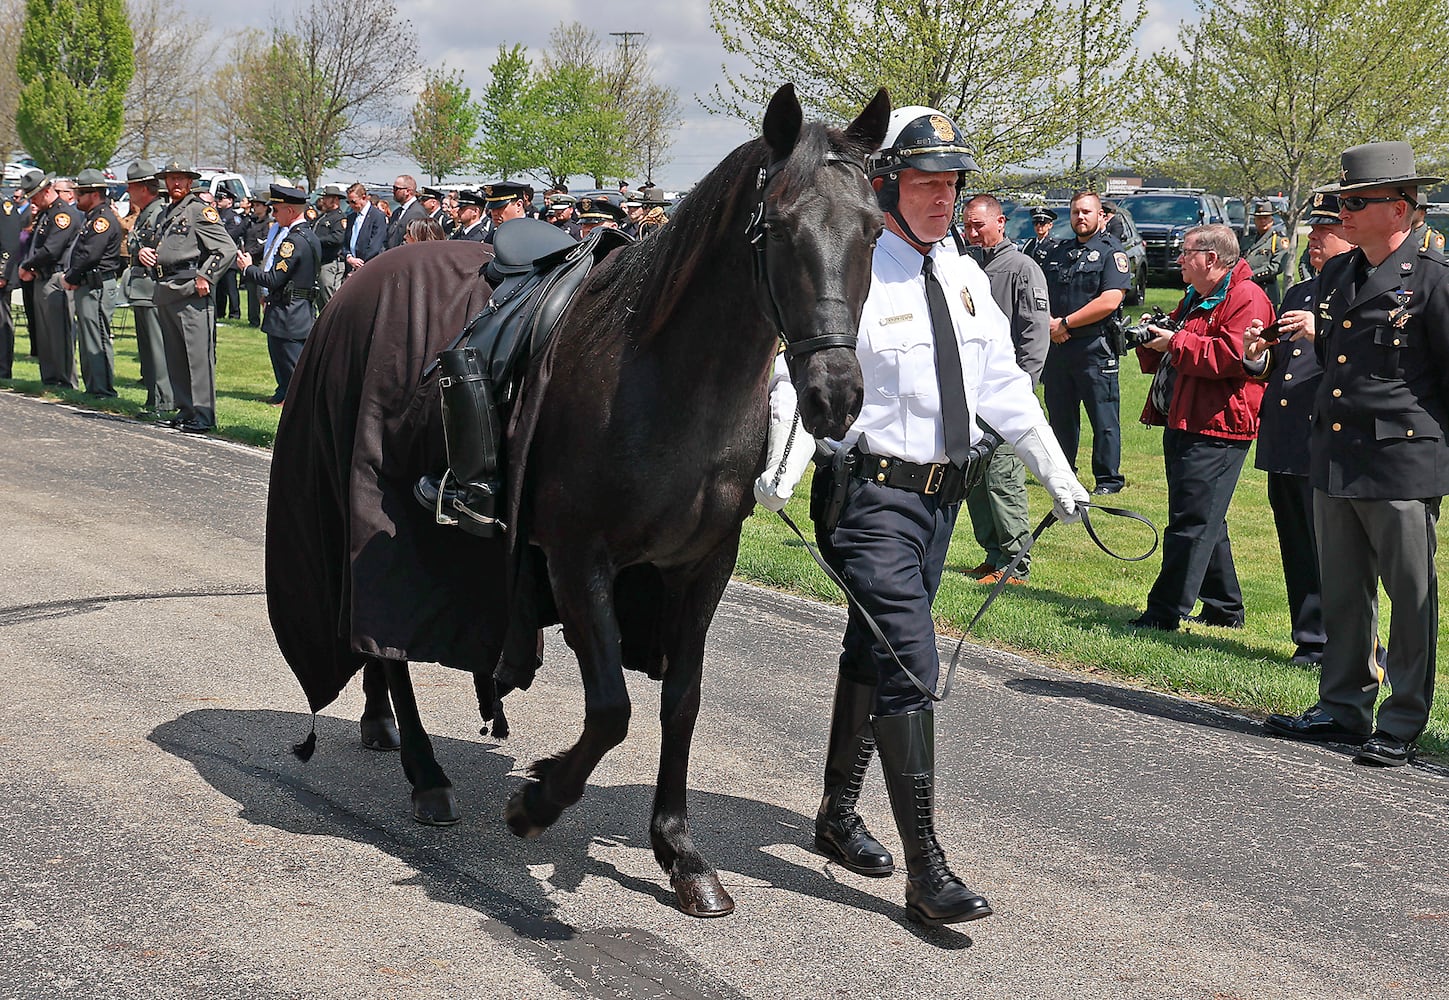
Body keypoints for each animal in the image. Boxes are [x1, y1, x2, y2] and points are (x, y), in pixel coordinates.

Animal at [266, 85, 886, 921]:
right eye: (779, 224)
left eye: (873, 229)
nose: (835, 396)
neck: (668, 375)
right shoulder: (576, 557)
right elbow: (612, 708)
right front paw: (536, 801)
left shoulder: (699, 569)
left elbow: (680, 701)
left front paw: (680, 851)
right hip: (379, 517)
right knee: (389, 642)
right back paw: (427, 775)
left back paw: (381, 728)